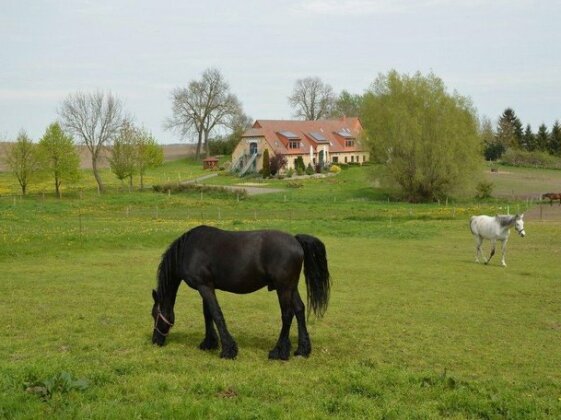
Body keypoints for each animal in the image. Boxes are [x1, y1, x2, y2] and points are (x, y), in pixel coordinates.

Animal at [151, 225, 330, 360]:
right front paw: (209, 343)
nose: (154, 341)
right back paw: (302, 350)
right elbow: (208, 314)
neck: (189, 249)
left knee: (287, 314)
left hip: (284, 288)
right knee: (299, 310)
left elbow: (216, 314)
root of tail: (295, 240)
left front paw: (228, 350)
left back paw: (279, 352)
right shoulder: (207, 287)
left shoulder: (204, 287)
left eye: (154, 314)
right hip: (291, 287)